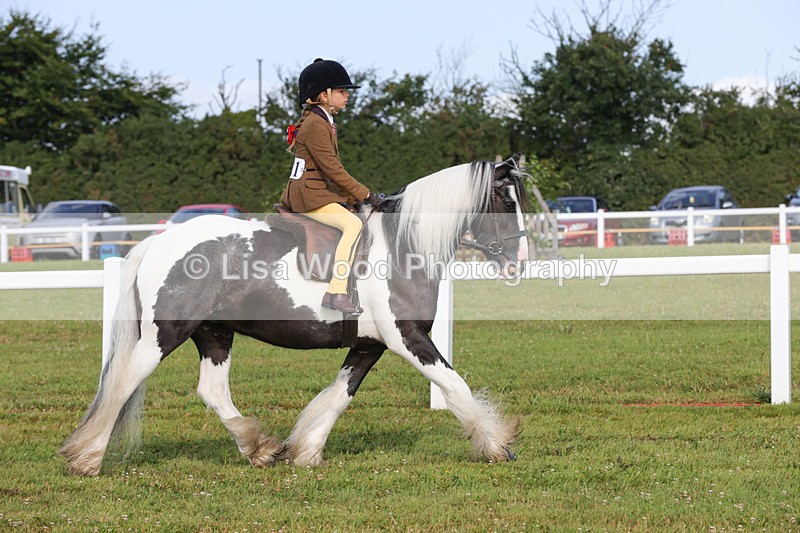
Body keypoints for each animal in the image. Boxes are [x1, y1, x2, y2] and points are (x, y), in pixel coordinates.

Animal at [60, 156, 530, 476]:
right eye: (506, 203)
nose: (520, 263)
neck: (401, 247)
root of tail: (156, 243)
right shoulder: (407, 339)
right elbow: (455, 386)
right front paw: (496, 444)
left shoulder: (369, 345)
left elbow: (339, 396)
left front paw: (305, 450)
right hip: (166, 333)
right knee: (123, 381)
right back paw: (88, 458)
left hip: (214, 334)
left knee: (212, 390)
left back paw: (258, 448)